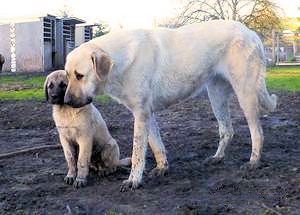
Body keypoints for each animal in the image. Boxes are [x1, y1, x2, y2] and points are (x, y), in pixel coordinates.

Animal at [63, 20, 276, 191]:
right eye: (67, 75)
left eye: (80, 75)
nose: (65, 101)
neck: (119, 62)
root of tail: (250, 32)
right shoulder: (147, 114)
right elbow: (156, 145)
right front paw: (162, 168)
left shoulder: (141, 114)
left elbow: (137, 152)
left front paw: (134, 180)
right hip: (216, 95)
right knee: (227, 130)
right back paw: (218, 157)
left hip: (245, 94)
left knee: (257, 132)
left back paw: (253, 162)